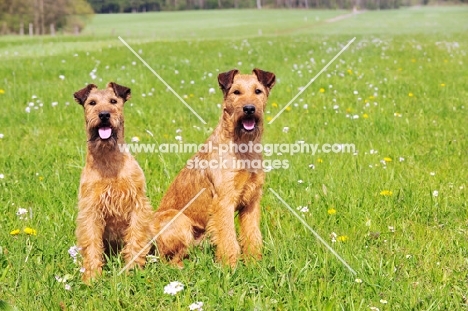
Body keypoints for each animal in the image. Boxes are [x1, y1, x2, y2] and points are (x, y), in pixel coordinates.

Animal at [73, 82, 154, 282]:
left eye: (113, 101)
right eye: (92, 102)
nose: (104, 115)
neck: (108, 160)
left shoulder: (138, 205)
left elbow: (135, 238)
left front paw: (132, 270)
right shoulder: (90, 209)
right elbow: (92, 243)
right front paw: (92, 277)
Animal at [155, 68, 276, 268]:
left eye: (258, 91)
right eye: (236, 92)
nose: (249, 109)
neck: (242, 146)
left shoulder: (251, 201)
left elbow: (252, 234)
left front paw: (254, 263)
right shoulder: (224, 200)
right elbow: (228, 237)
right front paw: (230, 266)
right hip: (179, 220)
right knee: (169, 259)